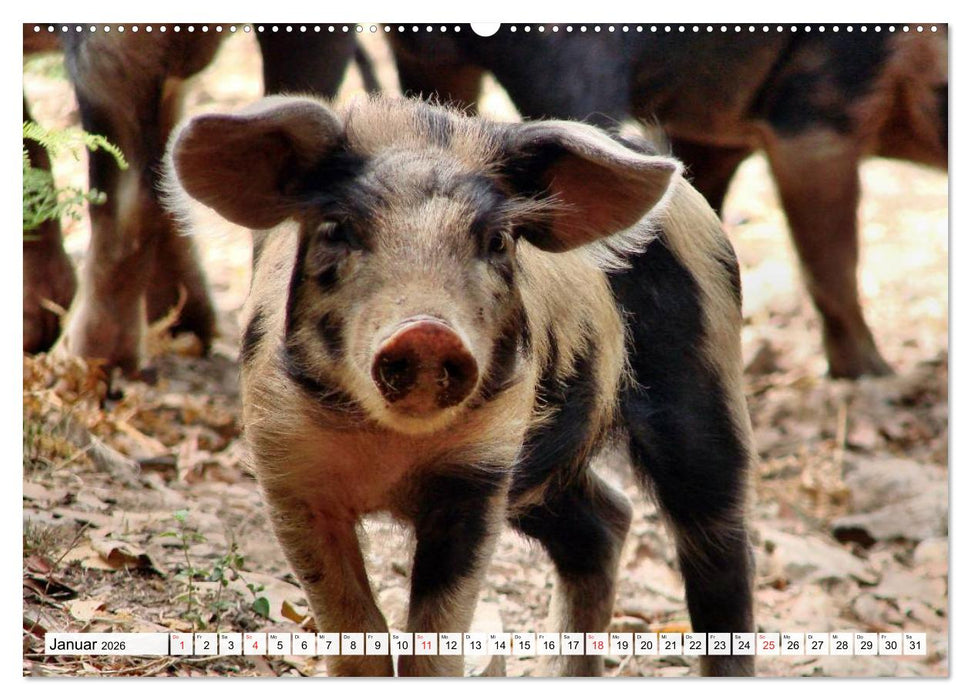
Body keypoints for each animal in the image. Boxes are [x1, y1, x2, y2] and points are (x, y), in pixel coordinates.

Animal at [166, 95, 756, 677]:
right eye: (337, 229)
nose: (428, 331)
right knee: (605, 523)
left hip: (705, 382)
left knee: (719, 550)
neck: (389, 452)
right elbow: (355, 627)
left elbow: (434, 639)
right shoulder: (287, 468)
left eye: (496, 241)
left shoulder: (481, 470)